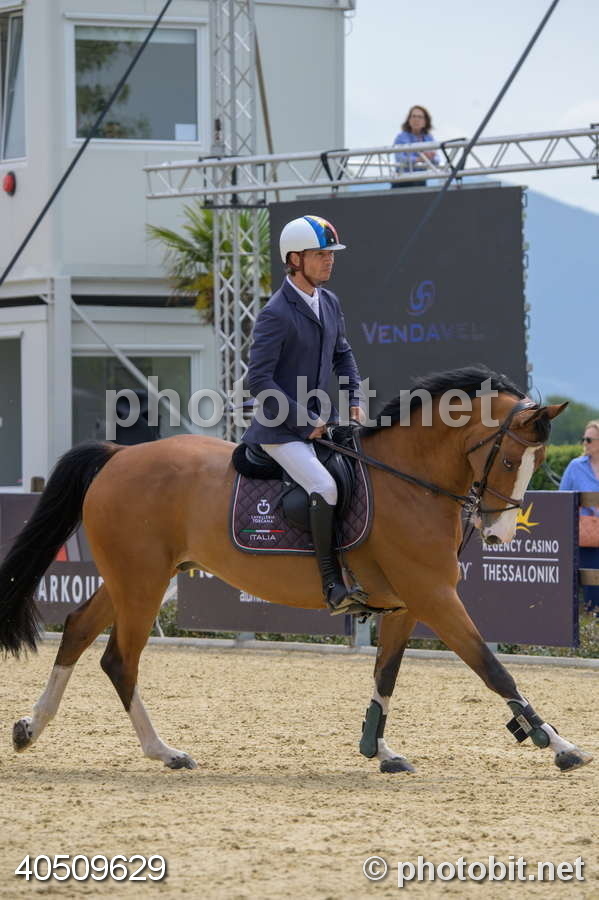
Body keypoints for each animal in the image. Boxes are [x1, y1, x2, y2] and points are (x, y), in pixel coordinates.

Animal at [0, 366, 592, 774]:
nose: (499, 536)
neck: (409, 479)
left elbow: (386, 675)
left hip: (133, 580)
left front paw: (379, 749)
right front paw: (558, 744)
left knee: (78, 629)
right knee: (120, 660)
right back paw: (164, 751)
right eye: (511, 460)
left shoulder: (406, 604)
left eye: (538, 464)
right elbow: (494, 669)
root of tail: (119, 455)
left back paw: (31, 728)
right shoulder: (435, 596)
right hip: (142, 584)